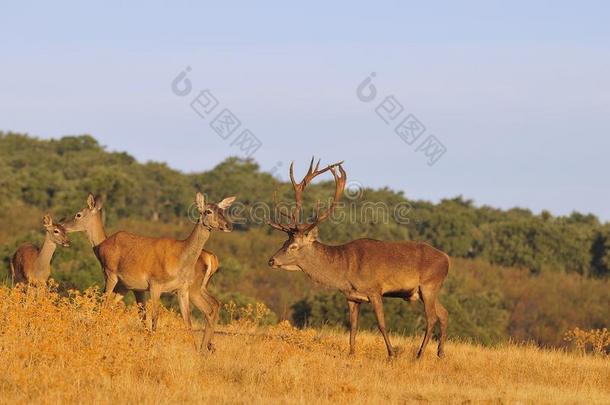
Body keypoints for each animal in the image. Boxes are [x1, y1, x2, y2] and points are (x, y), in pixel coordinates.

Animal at [63, 193, 232, 350]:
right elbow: (152, 318)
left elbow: (185, 322)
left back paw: (208, 348)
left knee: (213, 306)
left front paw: (194, 352)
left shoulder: (179, 289)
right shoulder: (153, 284)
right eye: (208, 211)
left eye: (223, 210)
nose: (228, 225)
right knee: (104, 305)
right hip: (111, 274)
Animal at [266, 159, 446, 358]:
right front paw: (351, 353)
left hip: (429, 285)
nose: (271, 261)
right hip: (425, 290)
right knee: (444, 314)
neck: (345, 269)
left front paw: (391, 354)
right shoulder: (352, 297)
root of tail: (447, 259)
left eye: (294, 246)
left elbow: (382, 324)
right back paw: (440, 353)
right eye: (284, 241)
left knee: (432, 317)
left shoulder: (375, 289)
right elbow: (353, 326)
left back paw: (419, 355)